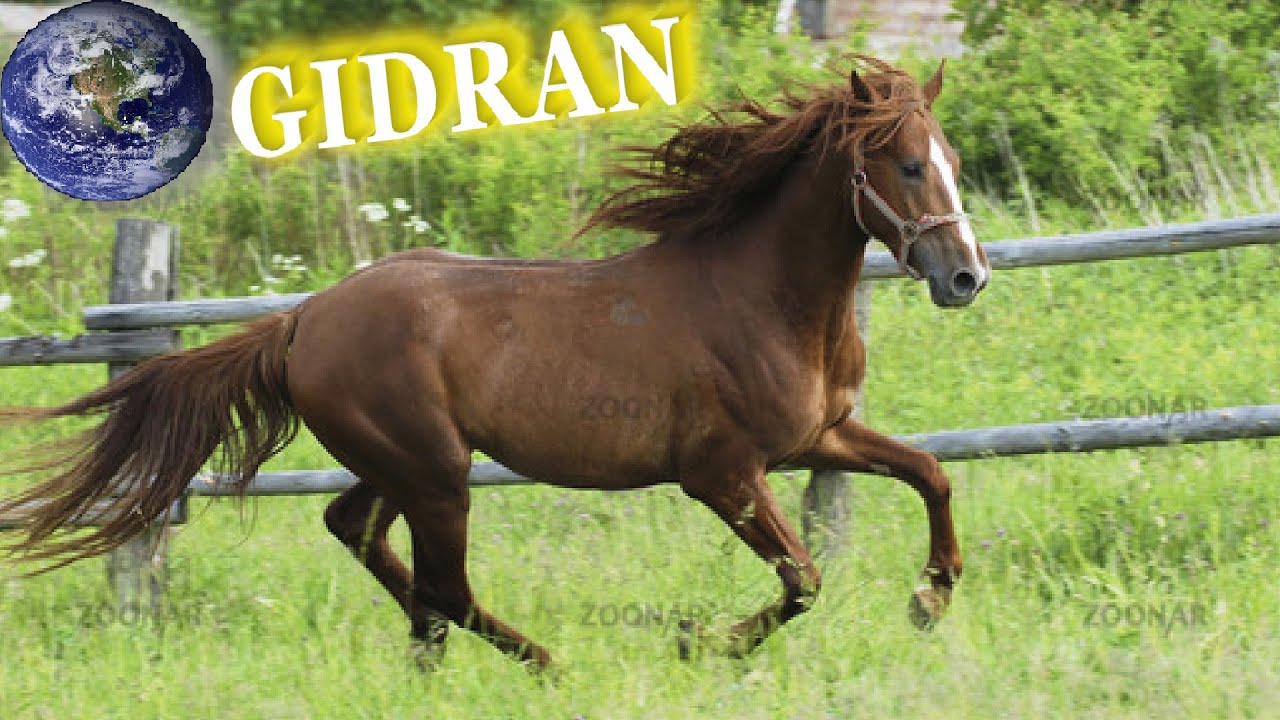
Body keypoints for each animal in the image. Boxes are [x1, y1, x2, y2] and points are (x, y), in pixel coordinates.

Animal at [0, 56, 989, 668]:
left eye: (952, 157)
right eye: (906, 165)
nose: (966, 276)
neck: (758, 299)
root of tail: (302, 318)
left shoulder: (820, 436)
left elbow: (932, 473)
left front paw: (929, 600)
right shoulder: (722, 474)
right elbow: (804, 578)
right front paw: (697, 642)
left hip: (401, 466)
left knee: (358, 532)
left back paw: (429, 658)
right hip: (436, 471)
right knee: (444, 578)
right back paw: (544, 662)